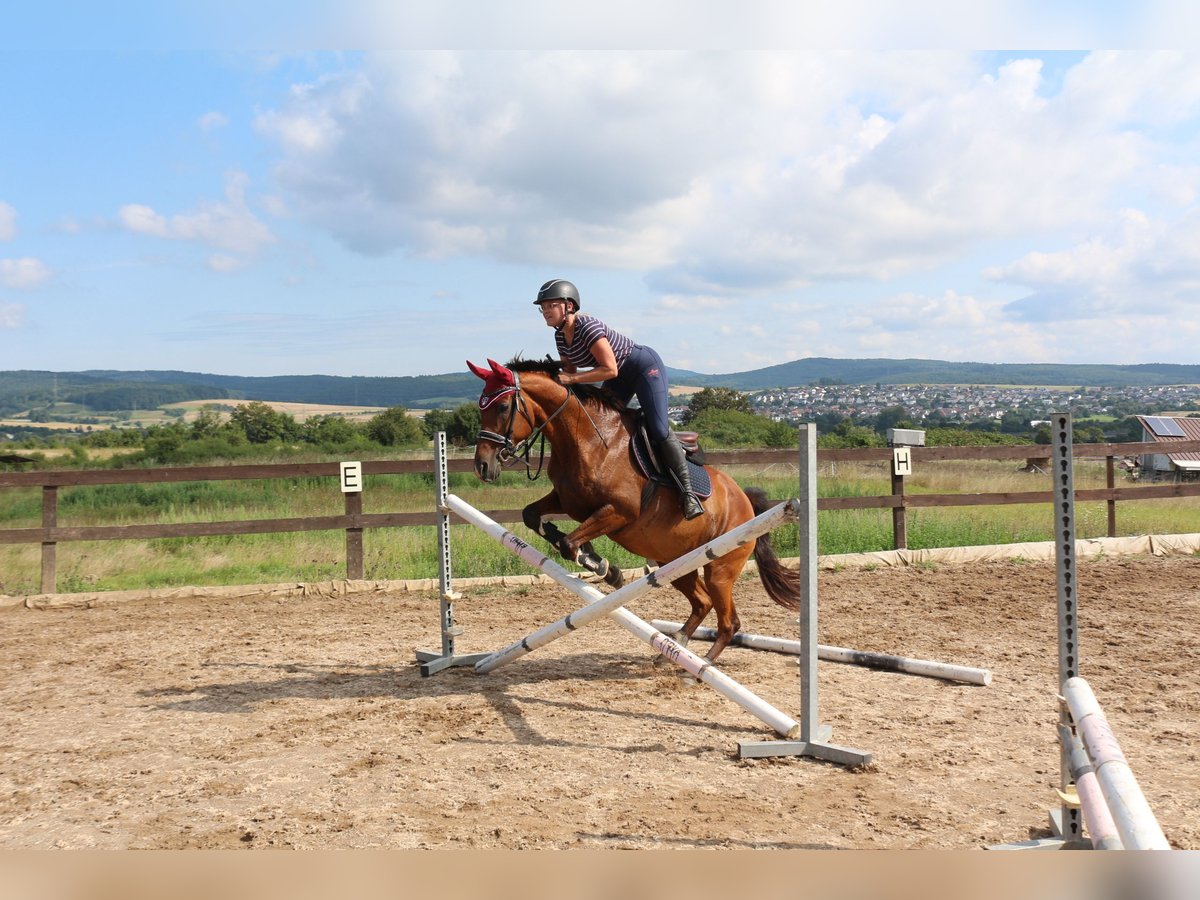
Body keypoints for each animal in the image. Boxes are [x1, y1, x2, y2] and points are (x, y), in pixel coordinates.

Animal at [465, 355, 796, 667]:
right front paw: (595, 559)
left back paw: (700, 667)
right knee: (702, 602)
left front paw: (602, 567)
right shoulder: (567, 501)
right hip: (675, 563)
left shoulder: (619, 512)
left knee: (729, 622)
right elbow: (533, 517)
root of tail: (746, 502)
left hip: (720, 568)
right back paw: (672, 651)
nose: (483, 466)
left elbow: (570, 543)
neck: (587, 440)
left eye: (503, 406)